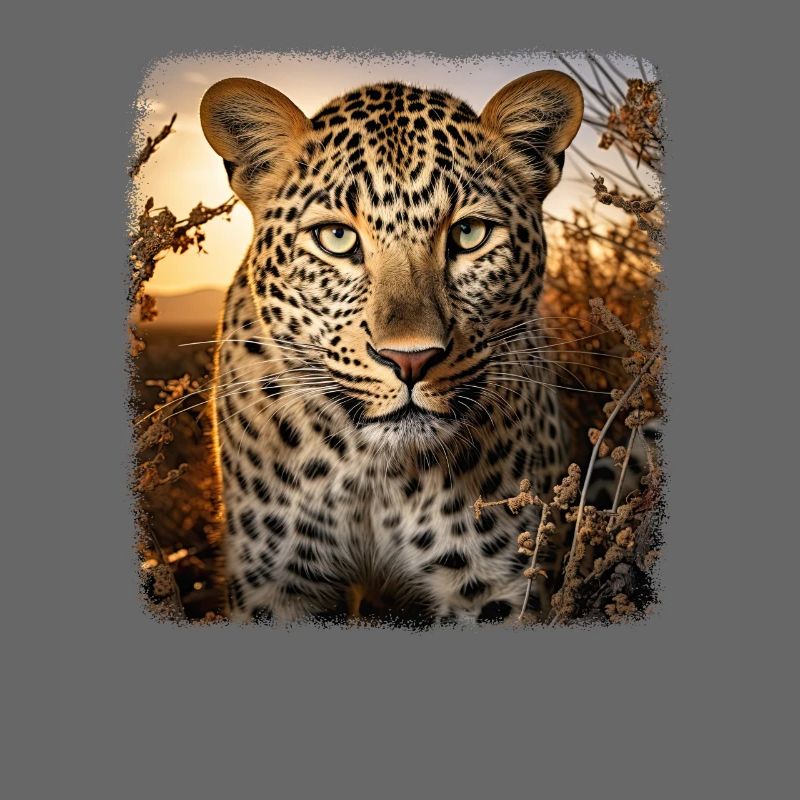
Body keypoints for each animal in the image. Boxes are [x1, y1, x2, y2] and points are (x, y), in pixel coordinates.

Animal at [199, 70, 584, 624]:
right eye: (336, 238)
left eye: (469, 233)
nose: (411, 359)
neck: (376, 476)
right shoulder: (277, 583)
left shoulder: (495, 585)